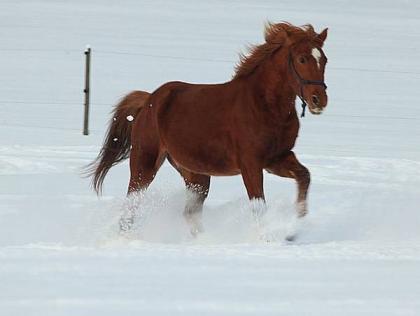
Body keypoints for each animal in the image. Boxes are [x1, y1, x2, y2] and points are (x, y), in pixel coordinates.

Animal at [88, 22, 328, 235]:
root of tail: (148, 100)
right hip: (144, 164)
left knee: (190, 213)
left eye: (324, 59)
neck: (264, 105)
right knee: (131, 205)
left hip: (195, 174)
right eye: (302, 58)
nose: (319, 100)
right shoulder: (251, 163)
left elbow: (304, 176)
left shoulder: (277, 158)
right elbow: (259, 206)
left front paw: (295, 228)